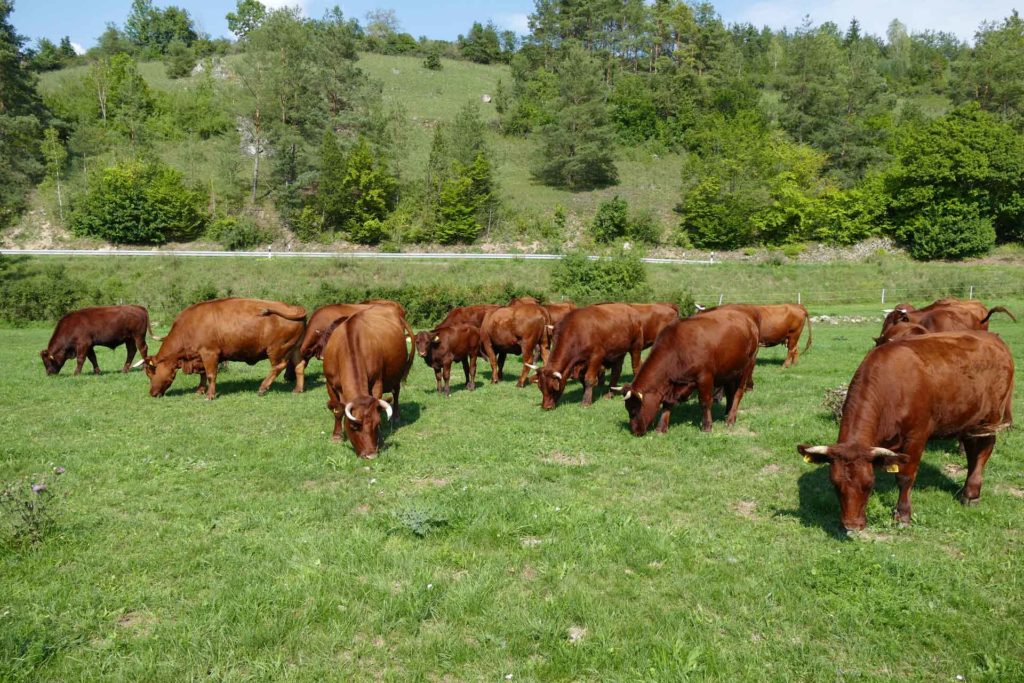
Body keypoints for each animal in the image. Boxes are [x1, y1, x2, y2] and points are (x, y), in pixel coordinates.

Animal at [144, 296, 305, 397]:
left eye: (150, 373)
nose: (151, 393)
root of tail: (295, 308)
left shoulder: (210, 353)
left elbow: (210, 375)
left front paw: (210, 395)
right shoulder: (201, 357)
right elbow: (203, 375)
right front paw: (200, 391)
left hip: (276, 349)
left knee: (279, 366)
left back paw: (262, 388)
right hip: (295, 349)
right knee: (299, 366)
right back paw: (298, 389)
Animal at [321, 305, 413, 458]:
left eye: (376, 424)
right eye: (353, 426)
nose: (371, 455)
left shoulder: (377, 381)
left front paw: (380, 439)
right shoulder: (330, 384)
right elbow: (338, 410)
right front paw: (337, 436)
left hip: (397, 374)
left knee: (396, 393)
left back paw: (396, 416)